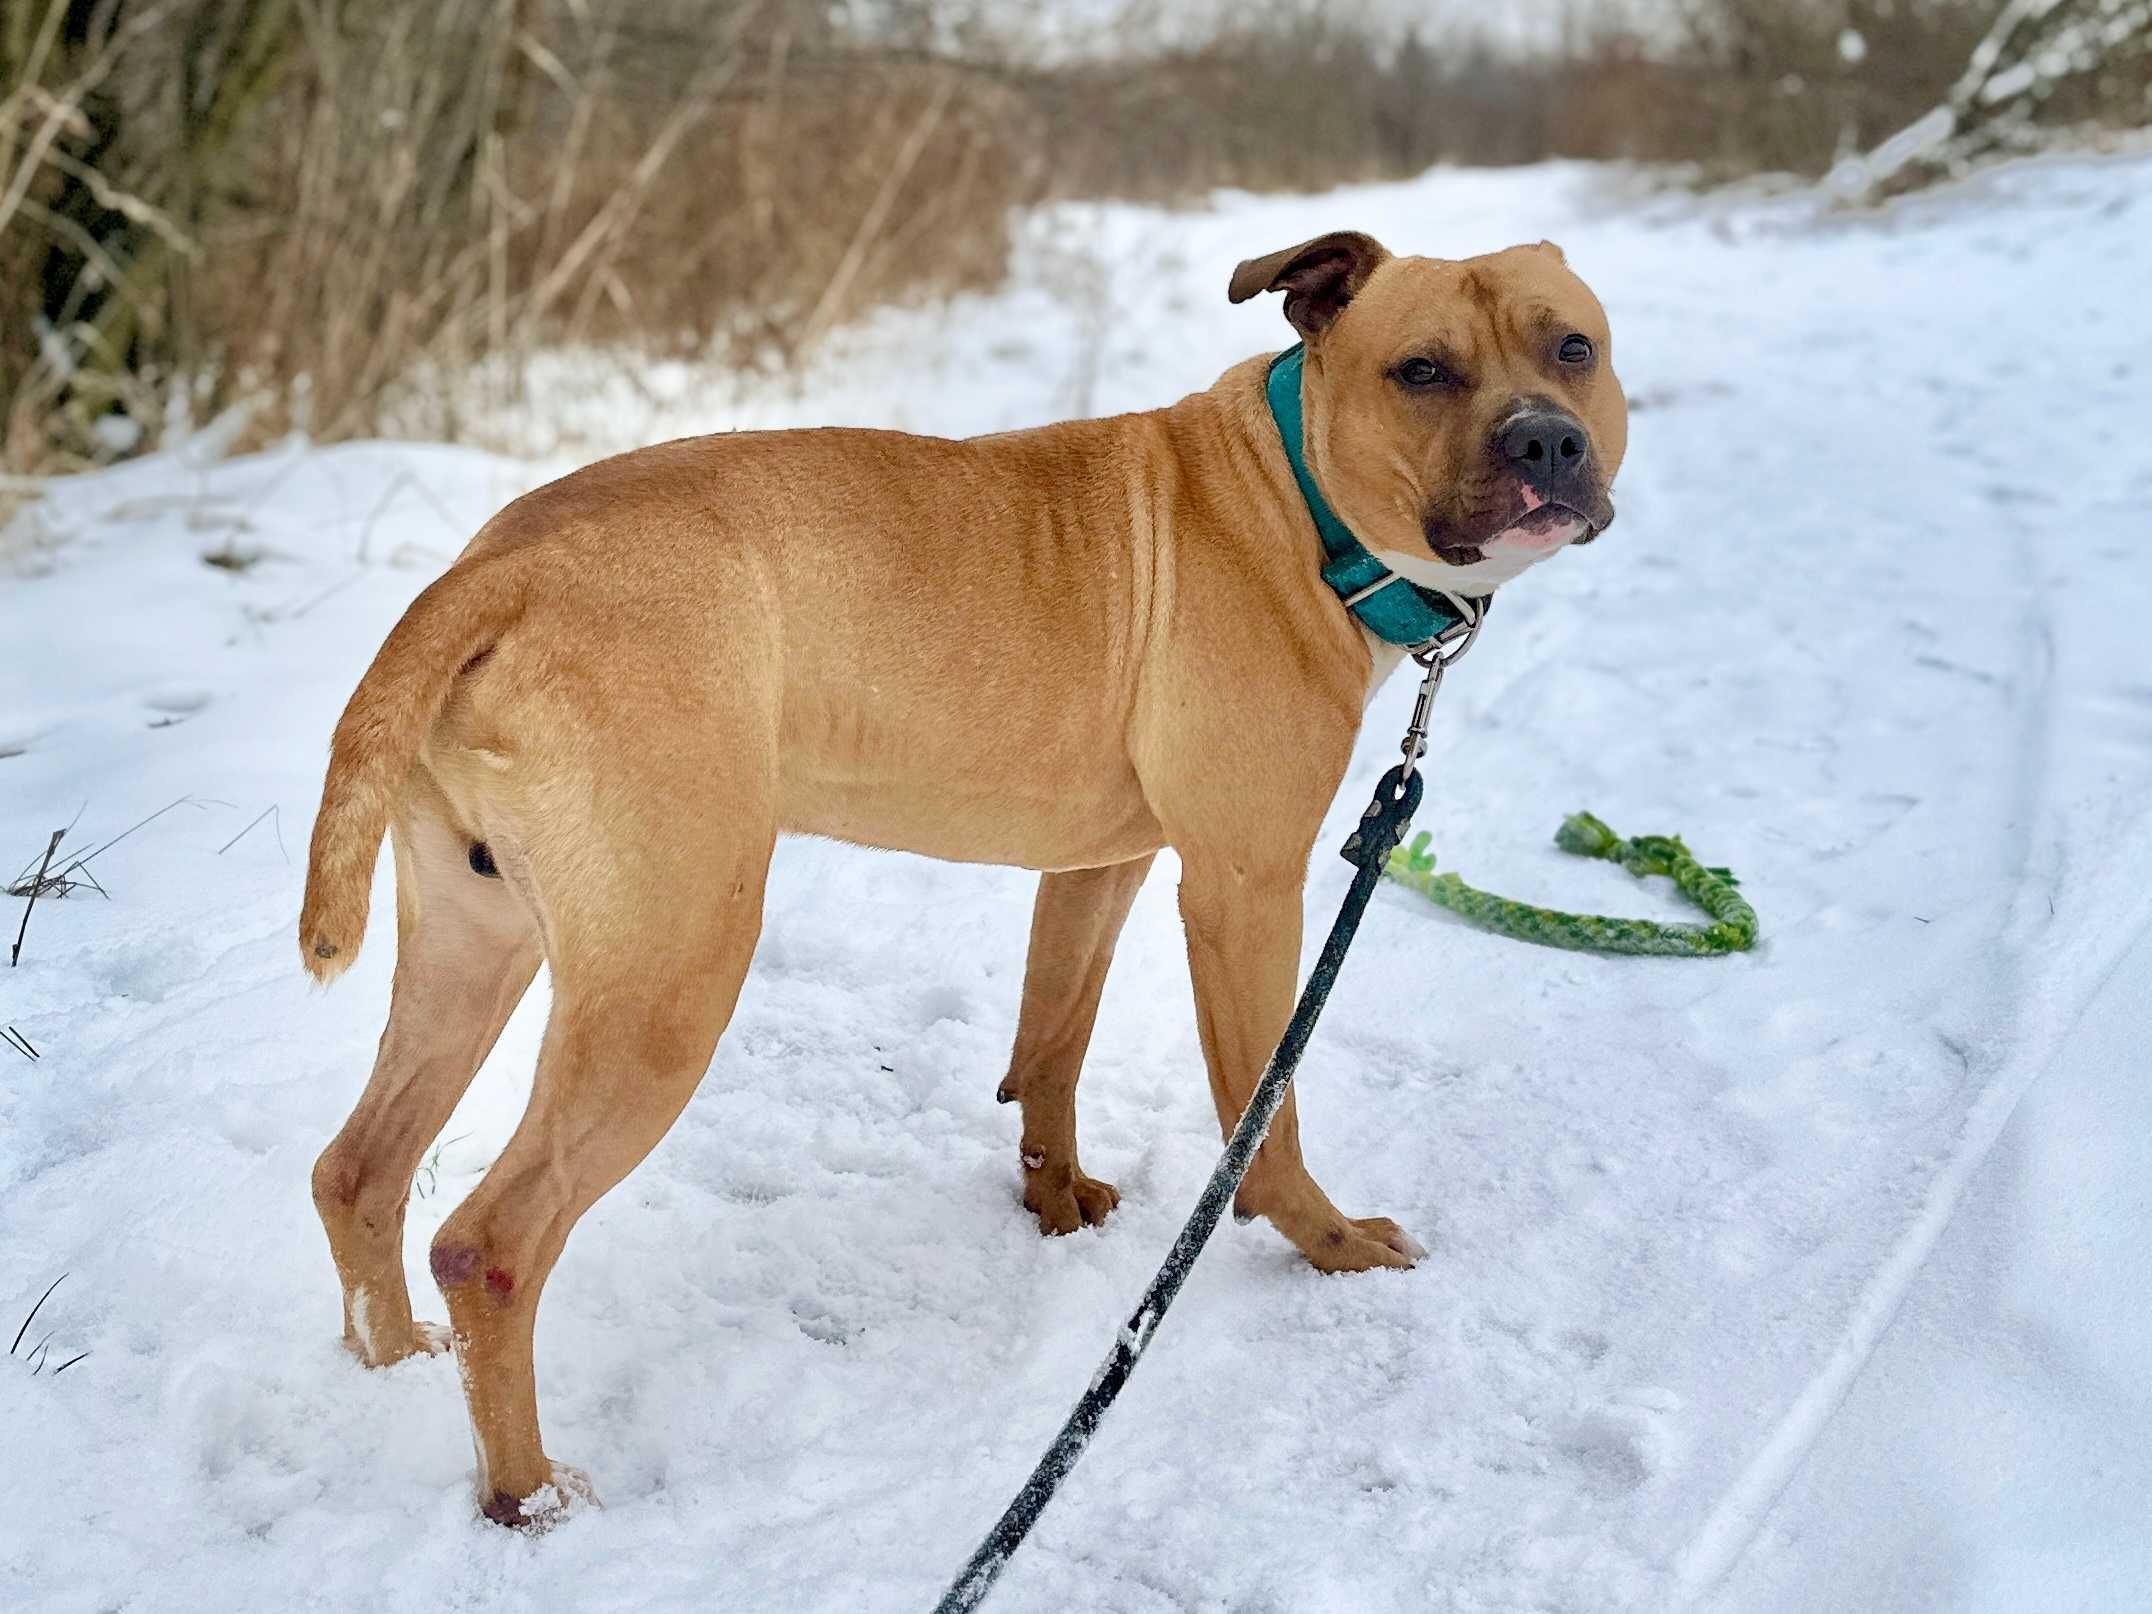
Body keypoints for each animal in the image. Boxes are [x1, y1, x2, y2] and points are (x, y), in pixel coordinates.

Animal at [299, 230, 1618, 1532]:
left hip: (475, 943)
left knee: (359, 1169)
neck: (1295, 502)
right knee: (490, 1242)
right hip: (663, 986)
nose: (1546, 440)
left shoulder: (1099, 865)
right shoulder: (1246, 891)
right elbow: (1265, 1112)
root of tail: (500, 565)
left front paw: (1054, 1199)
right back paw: (526, 1494)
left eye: (1572, 346)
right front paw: (1328, 1243)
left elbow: (1053, 1041)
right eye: (1421, 372)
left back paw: (390, 1363)